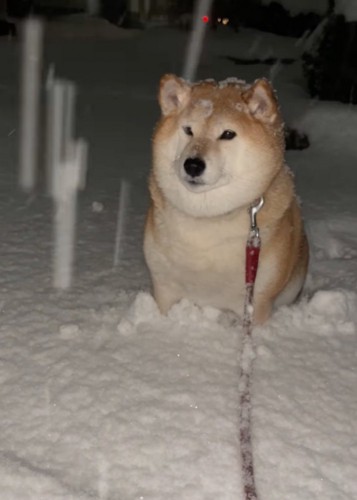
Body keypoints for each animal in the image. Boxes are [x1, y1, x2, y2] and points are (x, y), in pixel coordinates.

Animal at [143, 74, 308, 324]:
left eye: (228, 134)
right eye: (188, 130)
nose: (192, 164)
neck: (209, 218)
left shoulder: (256, 301)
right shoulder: (164, 289)